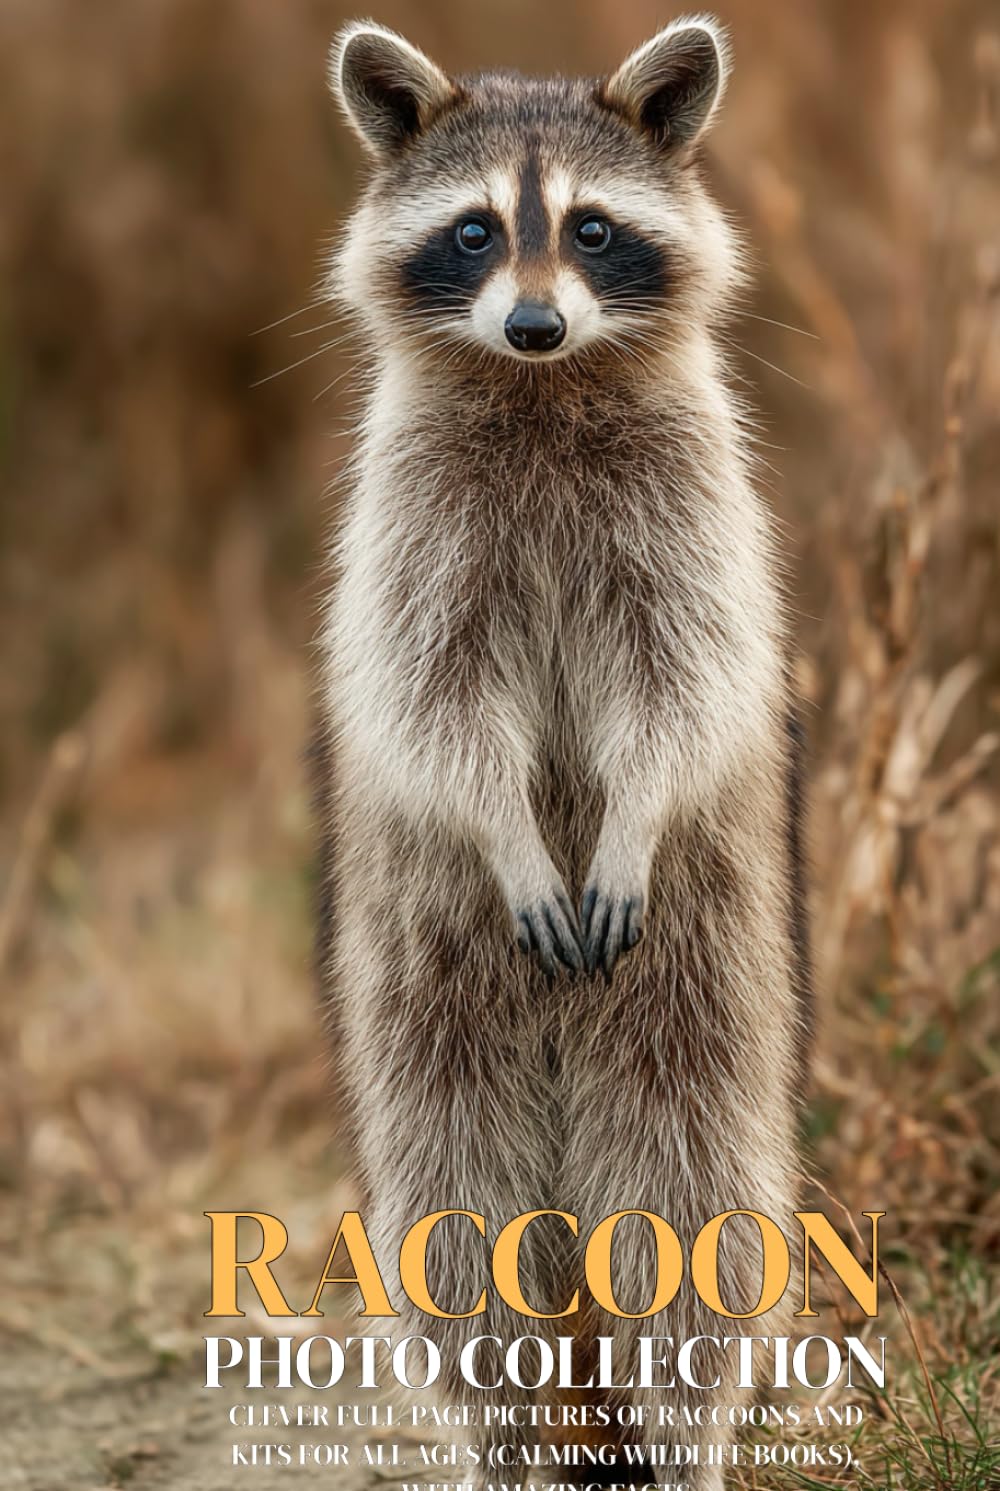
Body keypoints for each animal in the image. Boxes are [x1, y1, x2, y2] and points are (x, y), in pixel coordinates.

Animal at [318, 16, 811, 1488]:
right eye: (476, 232)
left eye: (591, 230)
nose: (533, 323)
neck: (540, 386)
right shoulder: (411, 525)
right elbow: (431, 701)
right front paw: (506, 824)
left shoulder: (692, 504)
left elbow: (685, 680)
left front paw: (634, 809)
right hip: (421, 988)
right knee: (458, 1226)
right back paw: (509, 1436)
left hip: (703, 977)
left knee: (690, 1206)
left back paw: (679, 1430)